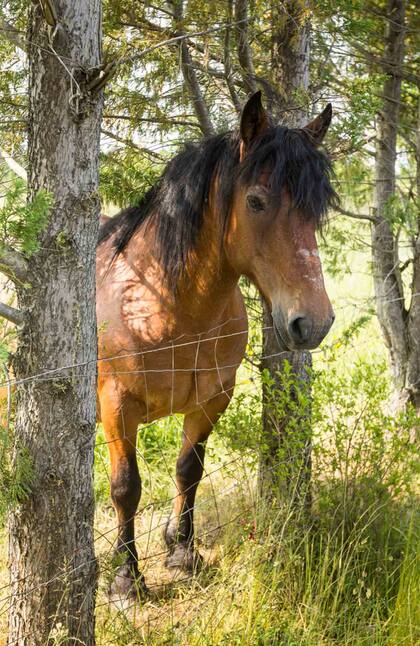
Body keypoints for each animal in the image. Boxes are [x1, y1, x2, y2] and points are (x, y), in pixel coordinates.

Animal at [97, 91, 336, 598]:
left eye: (318, 208)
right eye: (256, 201)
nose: (314, 322)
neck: (162, 302)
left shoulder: (211, 399)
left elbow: (189, 469)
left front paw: (182, 551)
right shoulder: (116, 405)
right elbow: (126, 487)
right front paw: (126, 579)